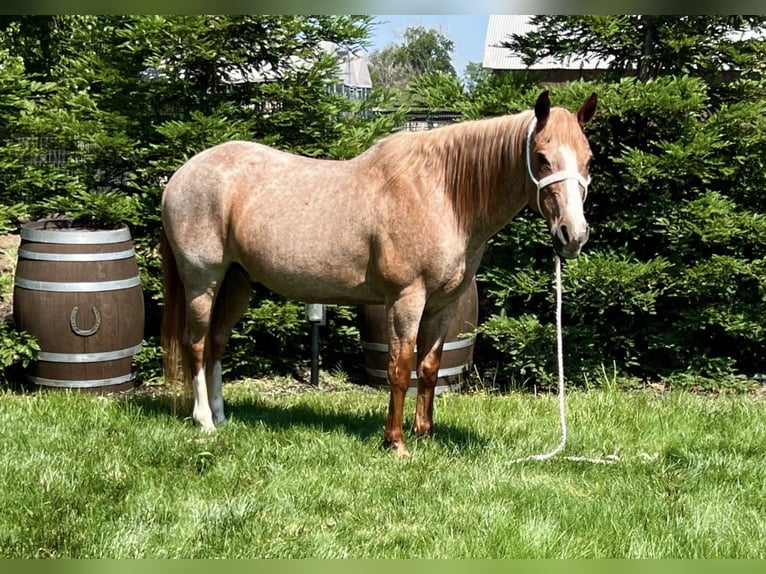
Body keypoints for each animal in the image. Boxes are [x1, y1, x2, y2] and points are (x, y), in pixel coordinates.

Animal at [160, 90, 597, 458]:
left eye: (589, 159)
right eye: (541, 157)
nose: (573, 235)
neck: (441, 194)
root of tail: (180, 176)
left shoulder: (443, 306)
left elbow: (429, 369)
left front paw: (426, 435)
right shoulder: (406, 300)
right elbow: (400, 369)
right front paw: (397, 443)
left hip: (236, 282)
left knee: (216, 344)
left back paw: (221, 417)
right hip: (202, 281)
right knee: (195, 344)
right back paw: (204, 422)